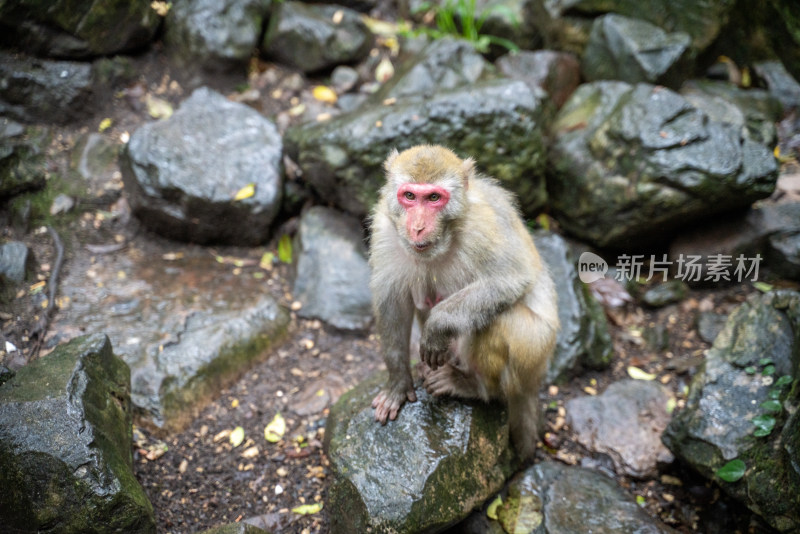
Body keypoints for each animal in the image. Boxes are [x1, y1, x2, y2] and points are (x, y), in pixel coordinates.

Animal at [368, 147, 556, 460]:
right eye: (410, 196)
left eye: (434, 197)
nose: (417, 227)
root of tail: (534, 381)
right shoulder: (385, 230)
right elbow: (392, 300)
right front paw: (397, 382)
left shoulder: (483, 228)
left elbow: (509, 280)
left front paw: (437, 326)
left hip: (533, 353)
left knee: (500, 319)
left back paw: (473, 386)